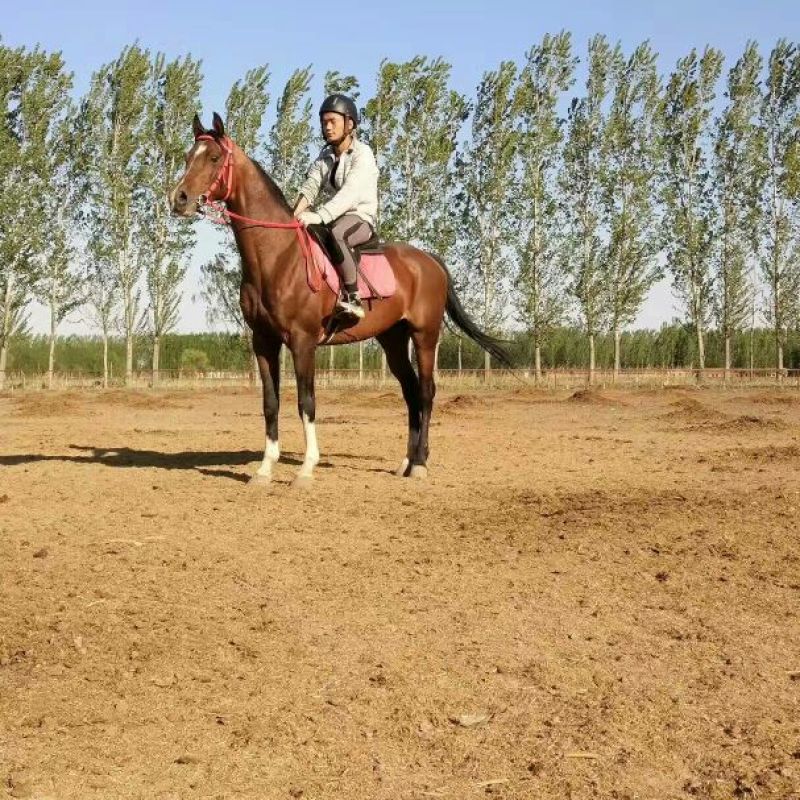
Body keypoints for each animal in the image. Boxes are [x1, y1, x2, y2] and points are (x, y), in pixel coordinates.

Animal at [170, 112, 510, 488]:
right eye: (188, 157)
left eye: (214, 158)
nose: (179, 199)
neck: (277, 256)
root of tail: (429, 261)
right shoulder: (263, 341)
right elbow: (271, 403)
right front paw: (264, 469)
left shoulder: (302, 341)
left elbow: (306, 402)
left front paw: (305, 469)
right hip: (393, 338)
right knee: (409, 392)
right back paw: (406, 462)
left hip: (424, 335)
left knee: (425, 392)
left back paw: (420, 463)